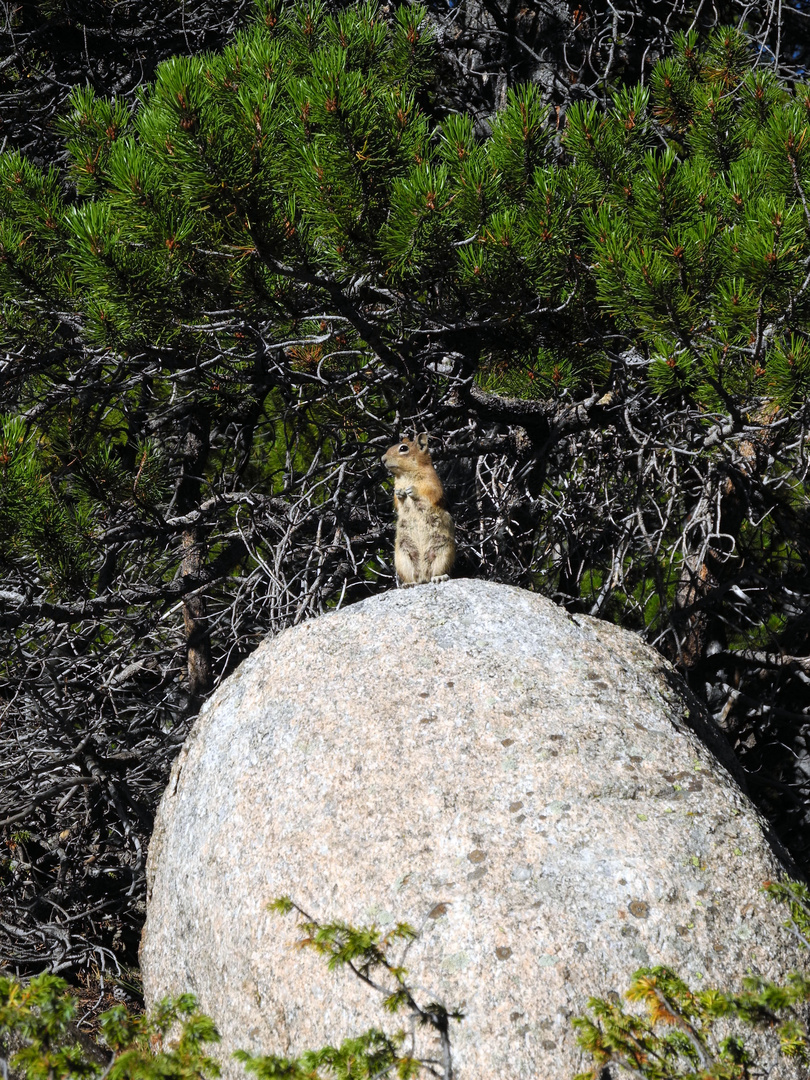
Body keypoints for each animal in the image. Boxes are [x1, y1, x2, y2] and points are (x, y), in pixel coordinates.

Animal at [382, 432, 457, 587]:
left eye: (403, 448)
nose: (382, 459)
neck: (406, 474)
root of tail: (424, 576)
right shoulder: (396, 487)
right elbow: (396, 501)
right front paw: (401, 493)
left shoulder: (432, 483)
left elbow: (431, 494)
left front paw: (412, 490)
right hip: (402, 555)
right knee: (413, 577)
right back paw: (409, 584)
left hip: (443, 552)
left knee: (437, 571)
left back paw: (439, 578)